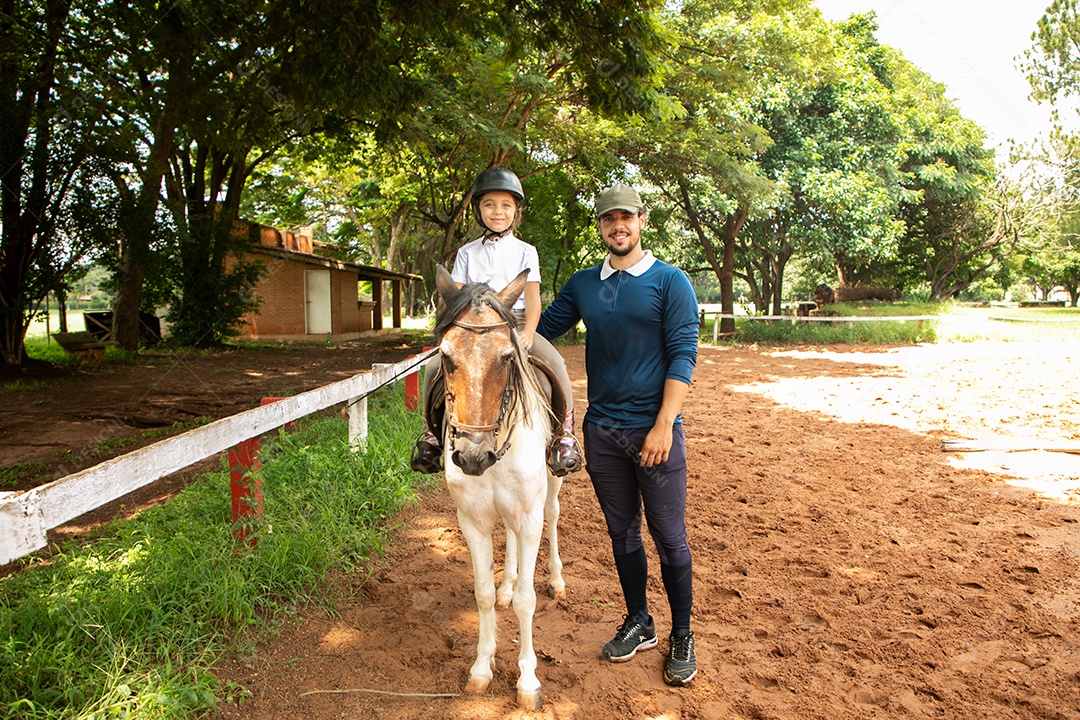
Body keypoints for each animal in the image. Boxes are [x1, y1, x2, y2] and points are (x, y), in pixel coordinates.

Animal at [432, 264, 565, 710]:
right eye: (445, 356)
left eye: (508, 357)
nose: (473, 457)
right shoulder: (471, 520)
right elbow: (483, 594)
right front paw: (481, 669)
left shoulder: (529, 517)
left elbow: (528, 601)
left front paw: (528, 682)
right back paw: (507, 583)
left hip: (553, 484)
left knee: (554, 517)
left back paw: (557, 580)